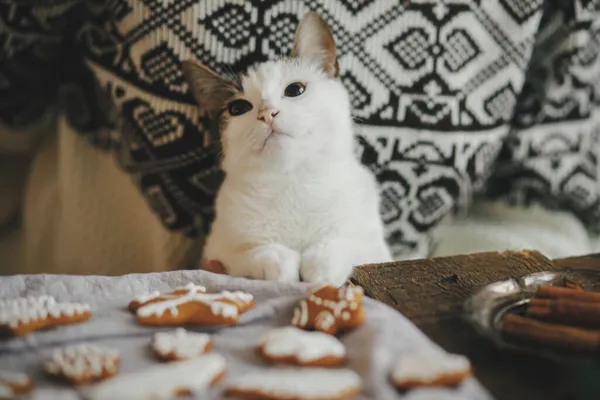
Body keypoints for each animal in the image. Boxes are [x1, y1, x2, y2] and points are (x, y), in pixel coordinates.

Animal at [183, 11, 392, 288]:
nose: (267, 113)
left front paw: (321, 264)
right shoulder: (216, 253)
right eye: (238, 108)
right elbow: (248, 255)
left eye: (294, 90)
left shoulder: (374, 247)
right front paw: (279, 262)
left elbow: (347, 243)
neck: (292, 182)